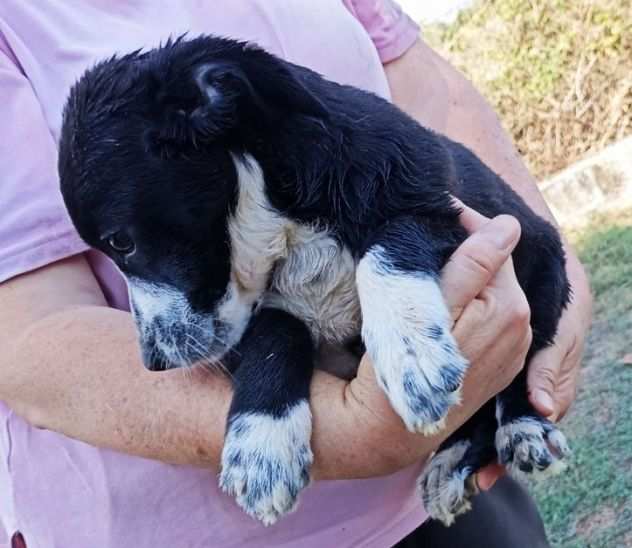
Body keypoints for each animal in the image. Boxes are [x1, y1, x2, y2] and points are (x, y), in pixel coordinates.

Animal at [58, 35, 572, 528]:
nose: (154, 364)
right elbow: (275, 335)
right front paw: (262, 445)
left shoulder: (440, 212)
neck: (281, 223)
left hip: (545, 272)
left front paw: (411, 355)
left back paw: (521, 429)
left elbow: (387, 249)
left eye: (121, 242)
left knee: (517, 372)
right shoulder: (265, 311)